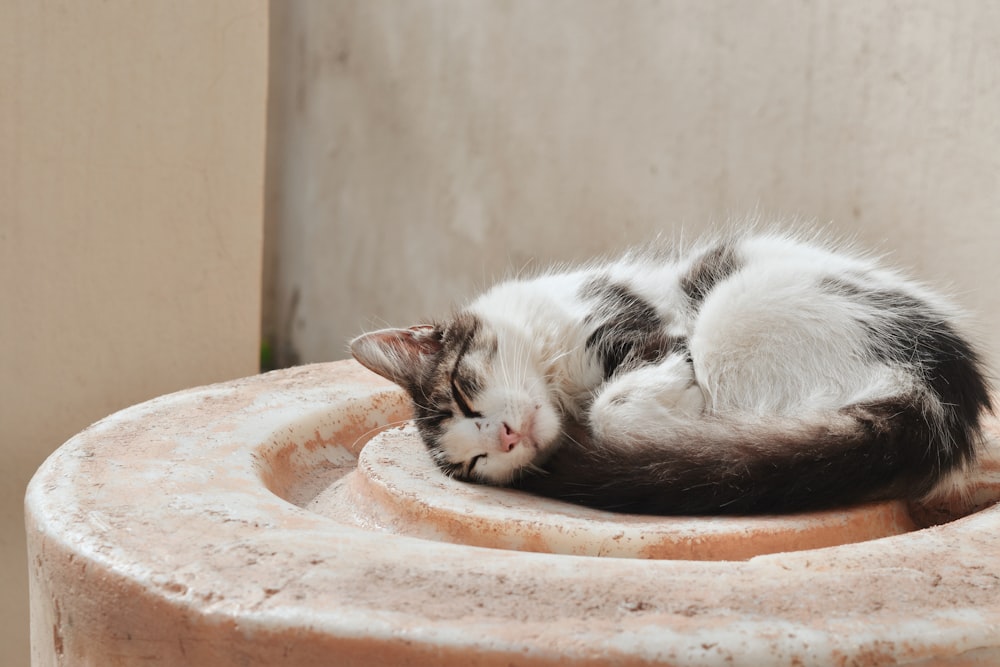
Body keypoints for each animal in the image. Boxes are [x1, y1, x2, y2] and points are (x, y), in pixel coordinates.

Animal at [352, 230, 992, 516]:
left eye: (462, 393)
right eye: (474, 464)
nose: (506, 438)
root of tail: (939, 395)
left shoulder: (645, 327)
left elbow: (615, 406)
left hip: (735, 311)